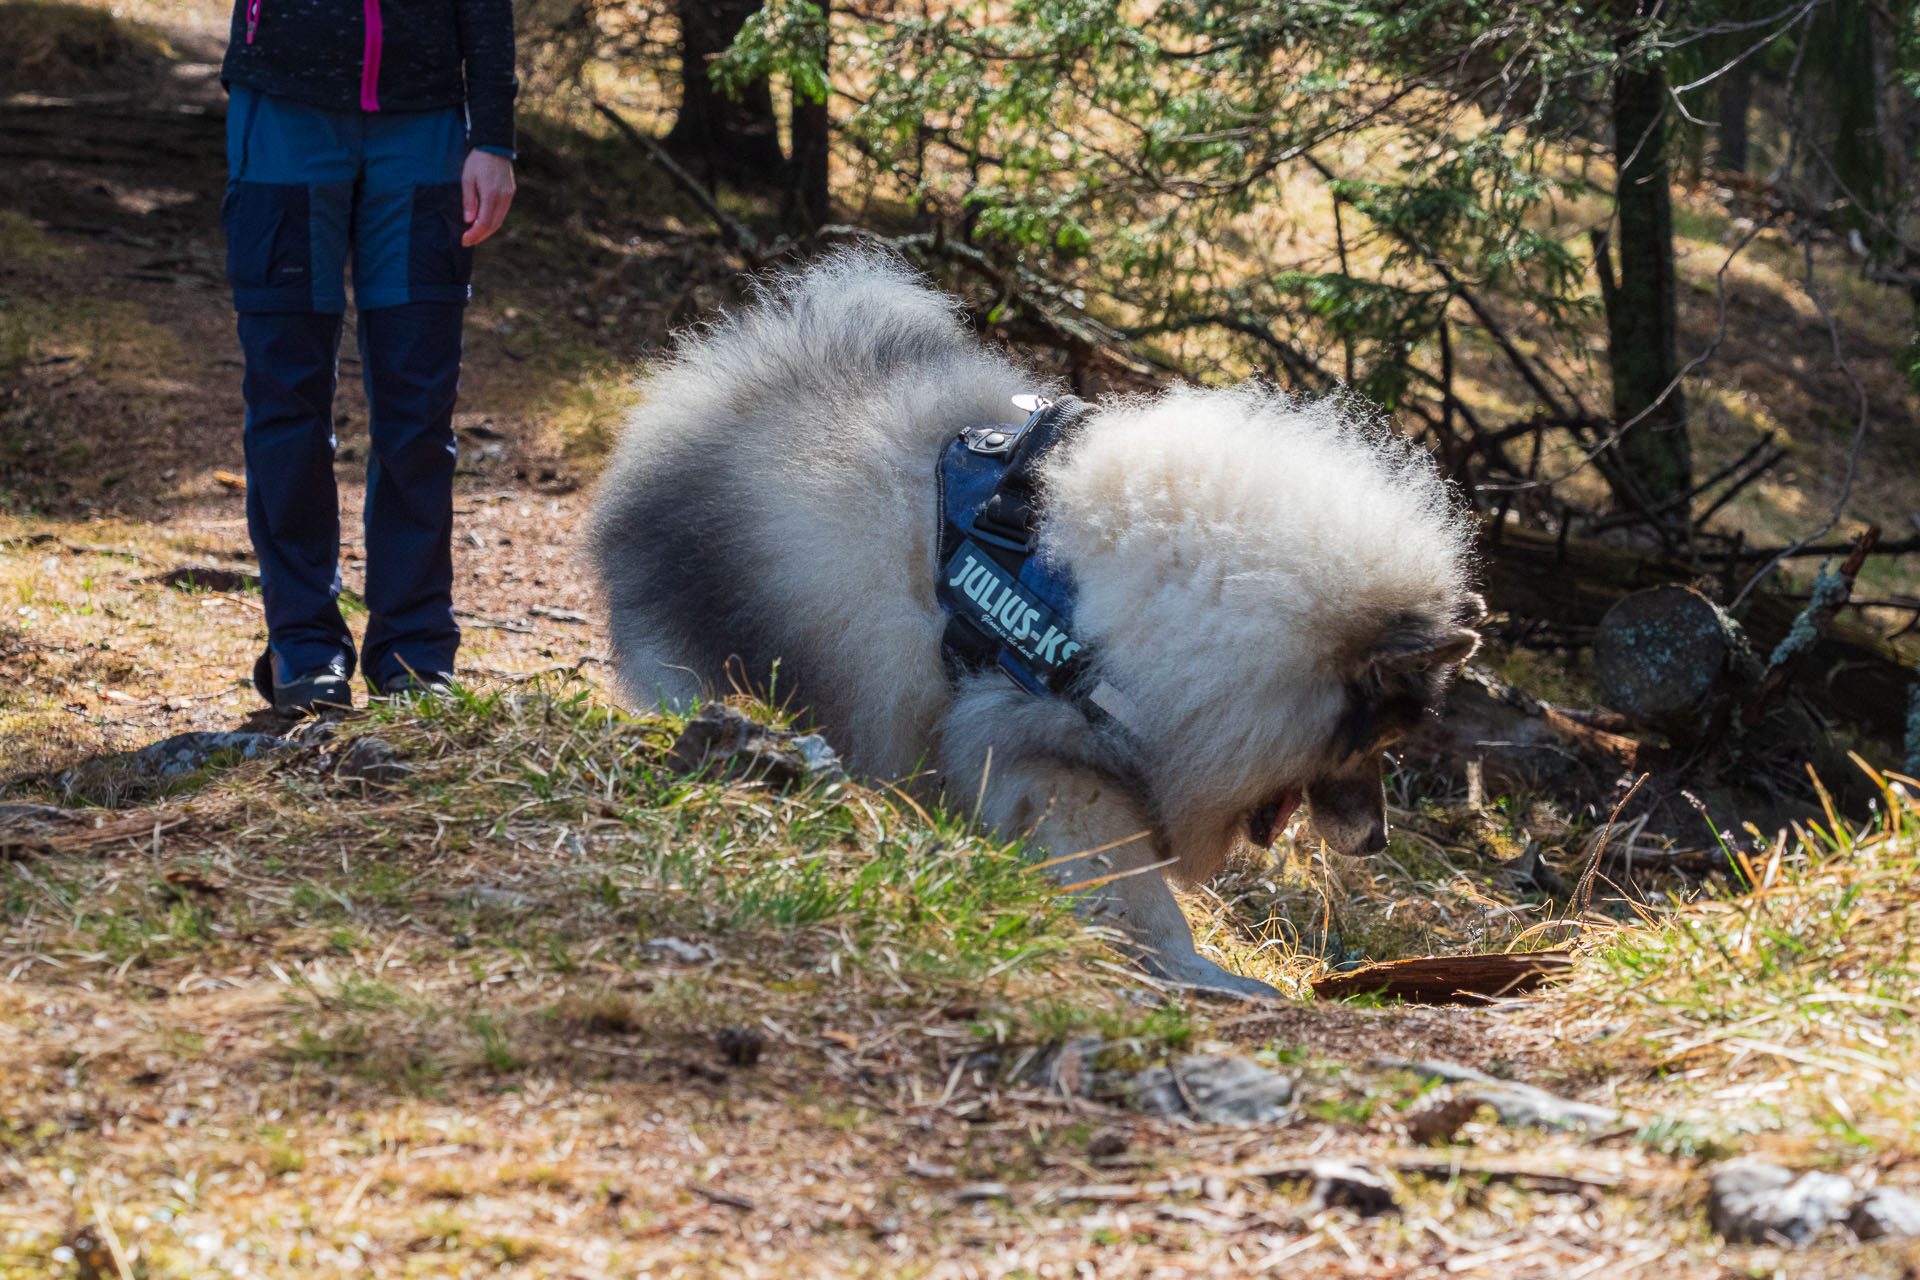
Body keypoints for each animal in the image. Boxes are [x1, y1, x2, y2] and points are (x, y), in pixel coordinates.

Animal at [591, 247, 1474, 990]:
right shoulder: (1057, 752)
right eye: (1374, 745)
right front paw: (1198, 970)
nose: (1379, 840)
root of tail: (712, 386)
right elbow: (1141, 894)